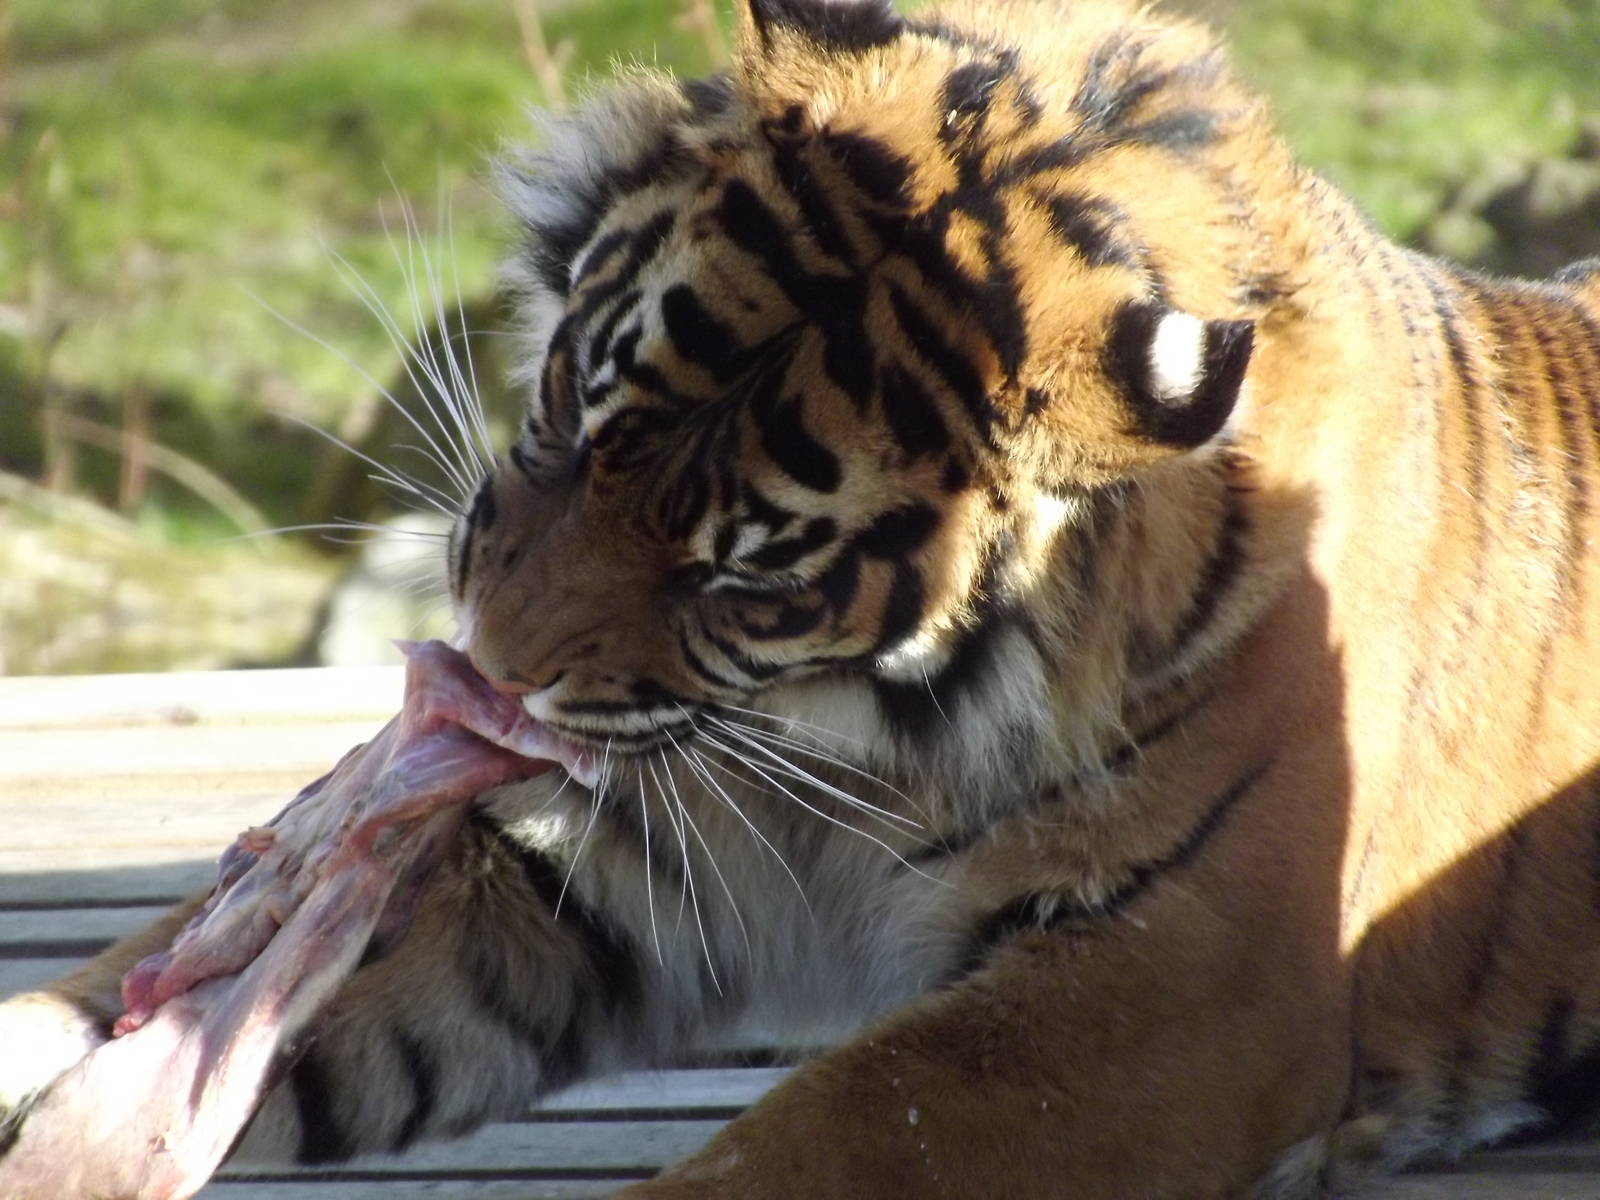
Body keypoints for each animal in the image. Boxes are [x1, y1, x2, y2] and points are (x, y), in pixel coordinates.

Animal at [6, 0, 1600, 1194]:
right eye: (576, 408)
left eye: (743, 567)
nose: (491, 671)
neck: (859, 725)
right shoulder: (628, 855)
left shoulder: (1172, 982)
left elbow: (827, 1137)